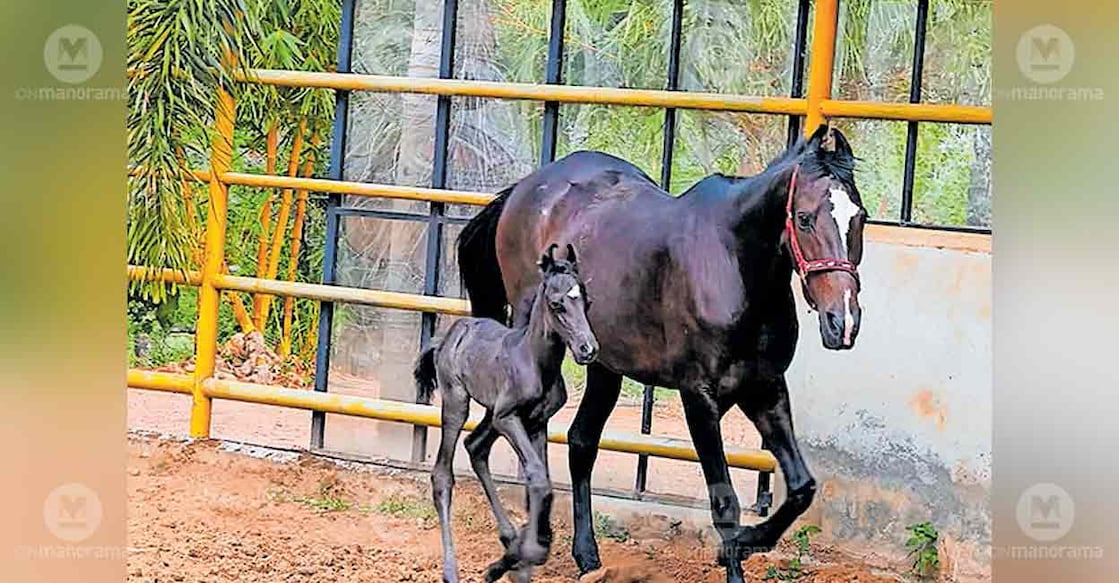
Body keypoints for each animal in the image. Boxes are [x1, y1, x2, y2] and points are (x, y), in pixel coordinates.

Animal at [415, 243, 598, 583]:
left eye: (587, 301)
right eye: (557, 304)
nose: (587, 350)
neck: (535, 362)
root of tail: (448, 336)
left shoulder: (537, 422)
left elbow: (539, 483)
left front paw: (516, 558)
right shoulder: (509, 418)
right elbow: (538, 478)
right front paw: (526, 554)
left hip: (490, 413)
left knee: (475, 446)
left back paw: (509, 541)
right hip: (458, 402)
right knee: (442, 474)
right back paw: (452, 570)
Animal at [456, 124, 866, 583]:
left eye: (861, 218)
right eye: (805, 218)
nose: (842, 321)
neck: (733, 266)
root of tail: (524, 190)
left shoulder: (765, 389)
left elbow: (801, 488)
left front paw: (748, 542)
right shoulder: (698, 397)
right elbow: (725, 500)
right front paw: (733, 554)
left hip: (602, 364)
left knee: (581, 442)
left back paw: (587, 555)